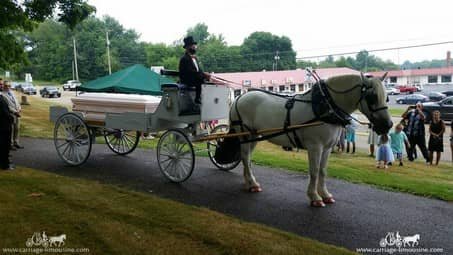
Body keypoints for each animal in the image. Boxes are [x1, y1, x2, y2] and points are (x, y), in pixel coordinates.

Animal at [228, 72, 390, 207]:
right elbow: (314, 171)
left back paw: (249, 182)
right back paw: (252, 183)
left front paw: (325, 195)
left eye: (387, 97)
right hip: (244, 134)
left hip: (254, 136)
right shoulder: (315, 146)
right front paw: (315, 197)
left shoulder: (327, 148)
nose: (387, 125)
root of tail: (239, 98)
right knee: (245, 157)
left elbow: (323, 171)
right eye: (372, 97)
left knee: (248, 158)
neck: (326, 107)